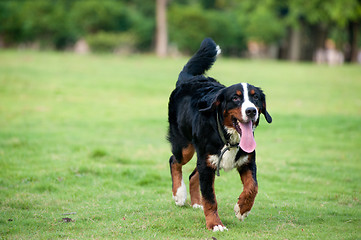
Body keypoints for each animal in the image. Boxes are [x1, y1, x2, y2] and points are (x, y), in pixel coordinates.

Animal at [167, 37, 272, 231]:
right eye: (236, 98)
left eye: (255, 98)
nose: (251, 111)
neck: (228, 137)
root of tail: (189, 79)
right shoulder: (207, 164)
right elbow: (210, 199)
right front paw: (215, 224)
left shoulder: (247, 161)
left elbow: (253, 187)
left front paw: (242, 208)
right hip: (186, 147)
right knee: (174, 161)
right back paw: (179, 194)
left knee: (193, 175)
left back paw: (196, 202)